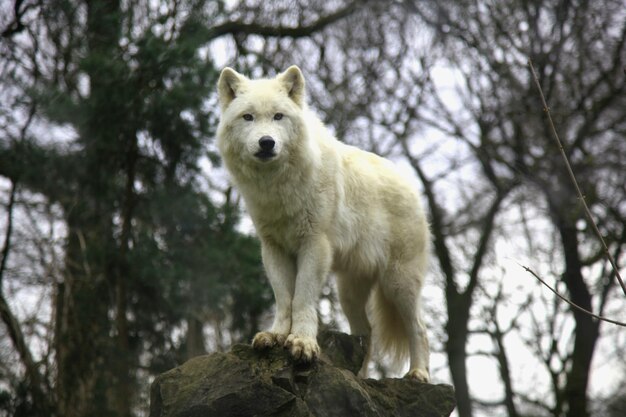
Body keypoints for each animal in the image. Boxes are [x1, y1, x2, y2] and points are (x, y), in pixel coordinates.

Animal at [216, 65, 428, 380]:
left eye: (278, 116)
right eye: (248, 117)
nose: (267, 142)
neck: (278, 188)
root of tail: (410, 184)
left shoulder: (314, 245)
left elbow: (302, 298)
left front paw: (302, 343)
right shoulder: (273, 248)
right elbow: (284, 298)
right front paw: (276, 335)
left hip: (398, 283)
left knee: (419, 328)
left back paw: (419, 374)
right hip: (349, 292)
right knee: (365, 333)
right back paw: (359, 377)